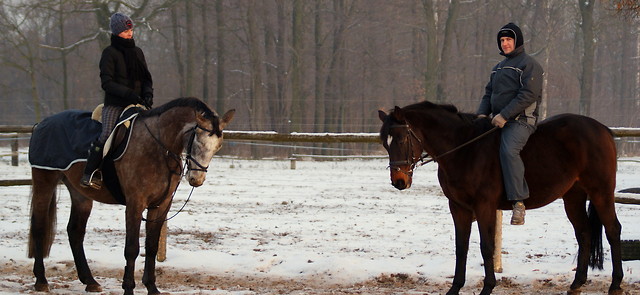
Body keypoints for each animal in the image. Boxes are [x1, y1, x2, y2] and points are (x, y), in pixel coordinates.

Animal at [29, 98, 235, 294]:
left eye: (218, 146)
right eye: (198, 140)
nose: (196, 179)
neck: (159, 147)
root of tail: (42, 124)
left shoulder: (160, 206)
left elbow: (151, 246)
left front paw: (152, 287)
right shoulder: (135, 203)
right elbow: (132, 248)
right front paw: (128, 287)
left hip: (81, 195)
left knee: (75, 232)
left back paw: (90, 282)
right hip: (44, 182)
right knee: (39, 227)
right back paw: (41, 281)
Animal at [378, 100, 624, 294]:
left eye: (401, 139)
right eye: (384, 142)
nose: (399, 181)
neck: (464, 149)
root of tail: (601, 128)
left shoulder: (484, 205)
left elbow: (487, 246)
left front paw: (487, 287)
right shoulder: (458, 207)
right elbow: (461, 246)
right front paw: (455, 288)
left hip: (601, 192)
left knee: (613, 230)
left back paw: (615, 285)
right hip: (573, 197)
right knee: (584, 233)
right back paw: (577, 284)